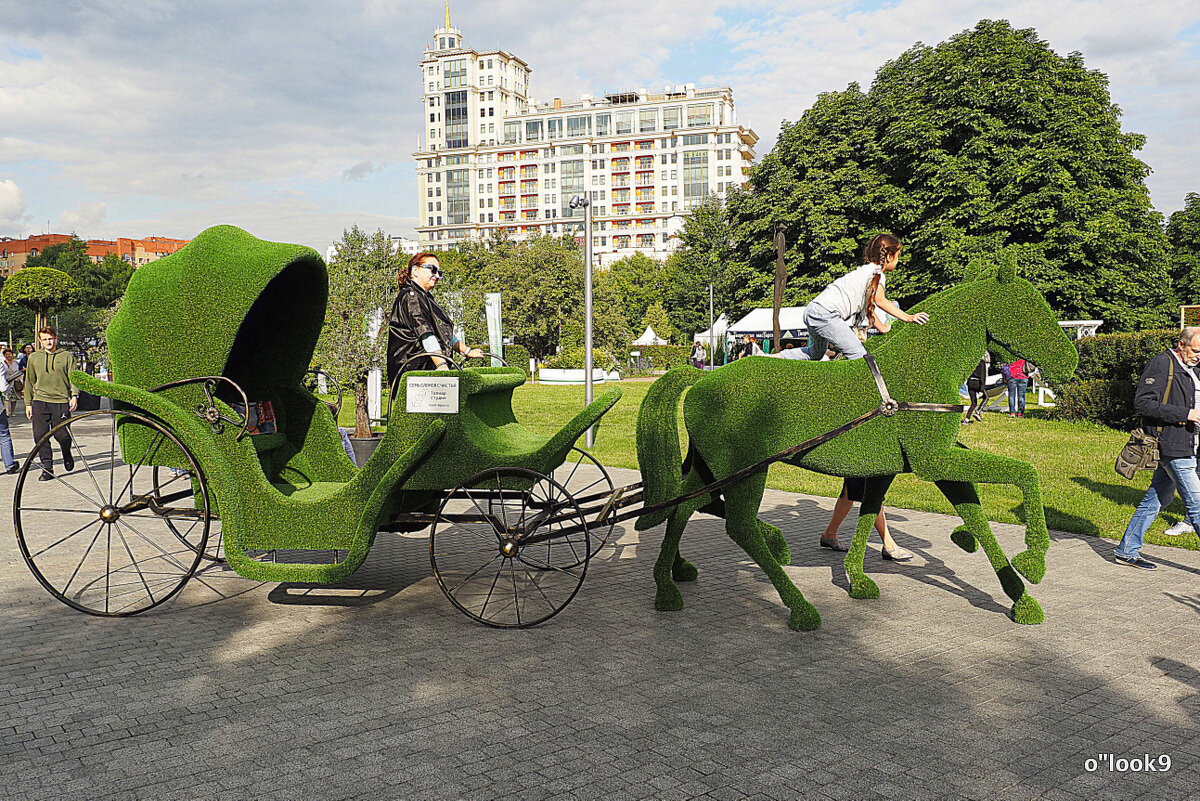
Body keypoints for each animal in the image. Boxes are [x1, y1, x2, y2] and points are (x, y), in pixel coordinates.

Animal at [638, 256, 1080, 633]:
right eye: (1028, 307)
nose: (1070, 361)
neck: (919, 370)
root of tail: (703, 379)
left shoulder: (917, 463)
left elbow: (951, 514)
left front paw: (1018, 596)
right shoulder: (934, 460)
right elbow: (1024, 473)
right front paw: (1032, 562)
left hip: (714, 468)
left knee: (682, 506)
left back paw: (668, 585)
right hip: (747, 470)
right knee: (738, 525)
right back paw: (798, 603)